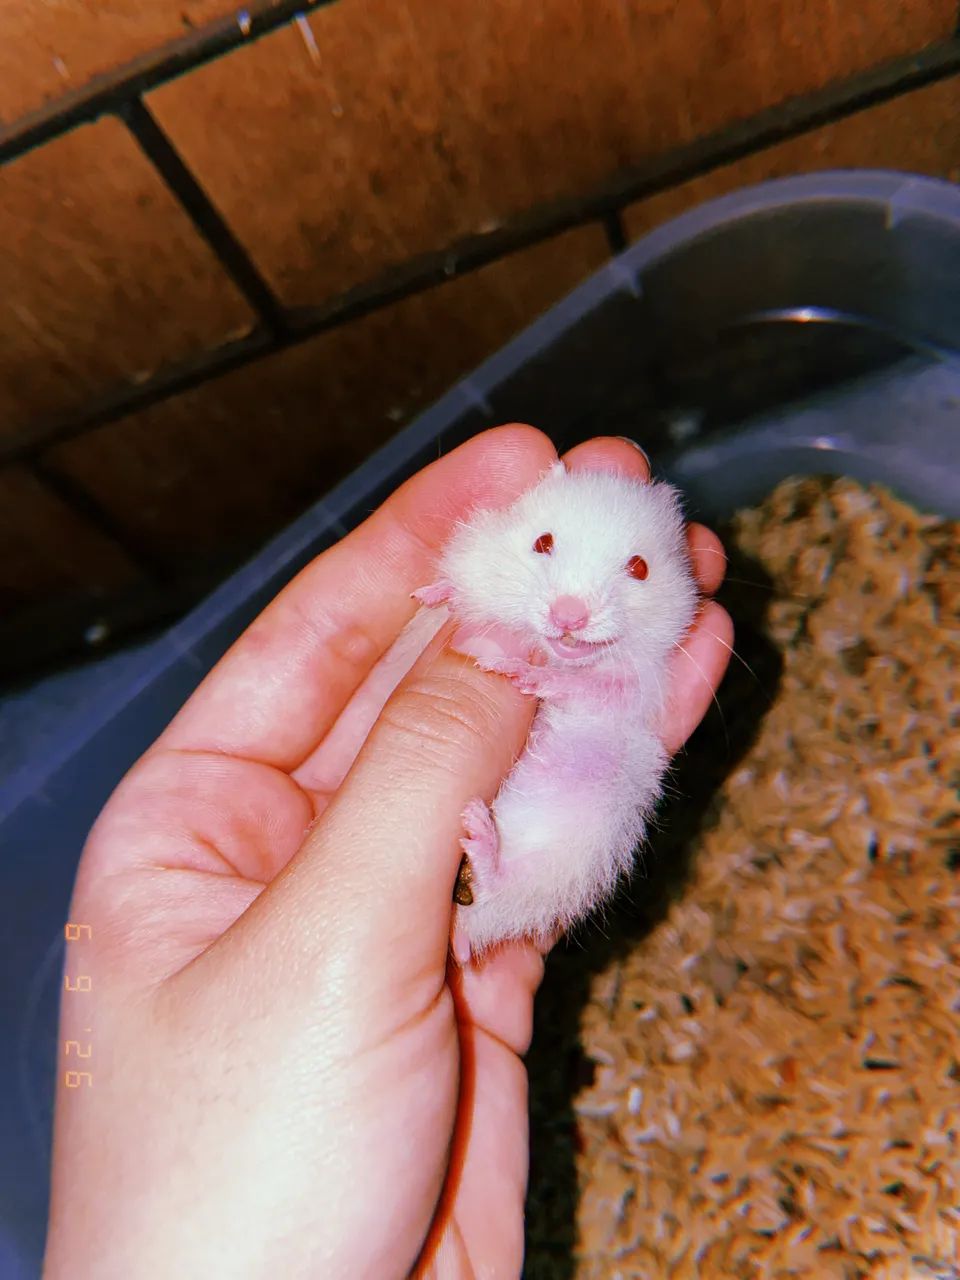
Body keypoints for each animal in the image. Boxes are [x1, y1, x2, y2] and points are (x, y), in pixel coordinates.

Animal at [414, 461, 700, 963]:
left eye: (640, 568)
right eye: (542, 542)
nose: (568, 616)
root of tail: (461, 933)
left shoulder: (635, 690)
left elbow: (586, 686)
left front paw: (516, 672)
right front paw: (431, 596)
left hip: (578, 852)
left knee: (506, 891)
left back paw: (477, 830)